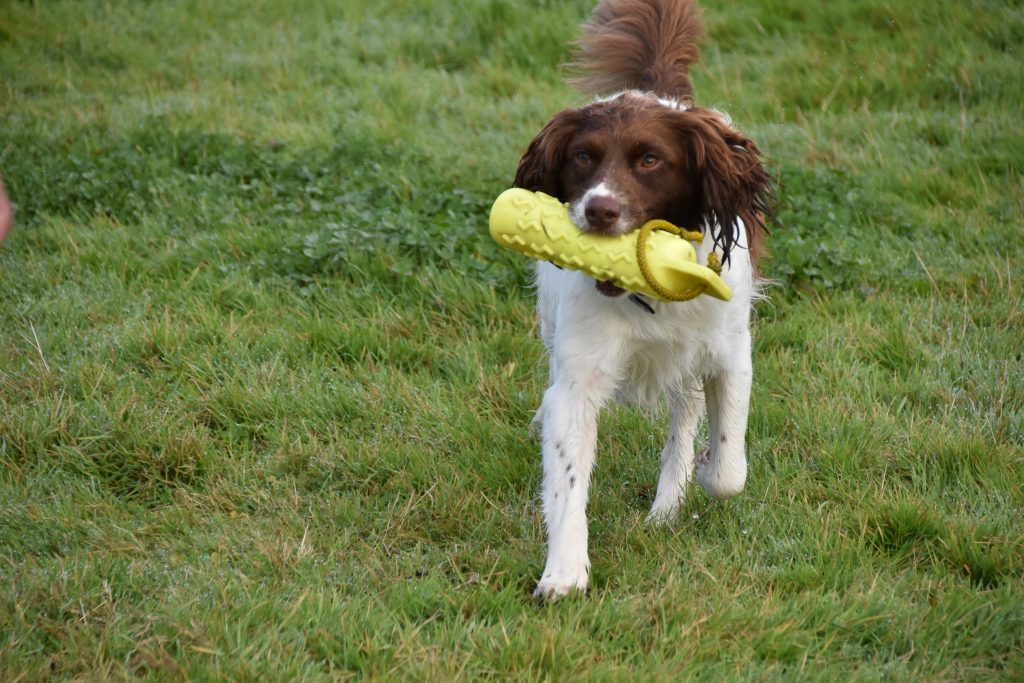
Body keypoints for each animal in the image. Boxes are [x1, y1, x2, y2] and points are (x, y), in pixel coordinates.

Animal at [516, 0, 770, 598]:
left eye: (650, 160)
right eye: (582, 157)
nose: (599, 210)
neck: (648, 290)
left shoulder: (730, 356)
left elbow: (729, 470)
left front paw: (705, 466)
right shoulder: (579, 378)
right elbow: (567, 478)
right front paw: (564, 572)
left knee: (685, 419)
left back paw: (666, 507)